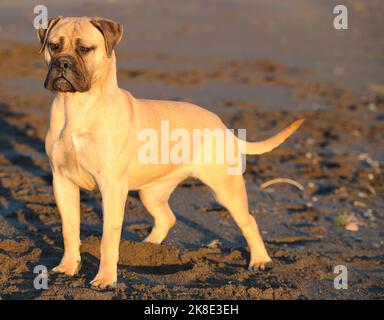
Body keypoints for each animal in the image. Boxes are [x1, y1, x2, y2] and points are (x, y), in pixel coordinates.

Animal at [37, 16, 304, 288]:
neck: (78, 106)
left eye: (85, 49)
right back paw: (146, 248)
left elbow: (108, 238)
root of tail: (222, 126)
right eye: (54, 46)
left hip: (226, 190)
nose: (62, 63)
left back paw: (260, 260)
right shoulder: (63, 182)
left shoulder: (111, 187)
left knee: (248, 221)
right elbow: (69, 230)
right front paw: (67, 267)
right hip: (151, 193)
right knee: (167, 217)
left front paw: (105, 278)